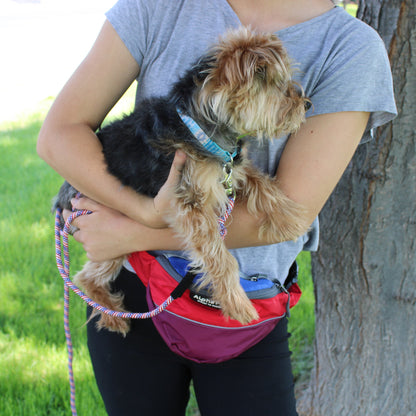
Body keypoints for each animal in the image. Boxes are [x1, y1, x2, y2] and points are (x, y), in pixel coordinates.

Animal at [53, 26, 310, 334]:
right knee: (86, 278)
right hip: (106, 233)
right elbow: (219, 256)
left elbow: (262, 184)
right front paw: (237, 304)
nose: (307, 103)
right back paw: (114, 316)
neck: (199, 126)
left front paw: (291, 219)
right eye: (279, 85)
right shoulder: (191, 203)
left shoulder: (232, 166)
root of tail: (61, 199)